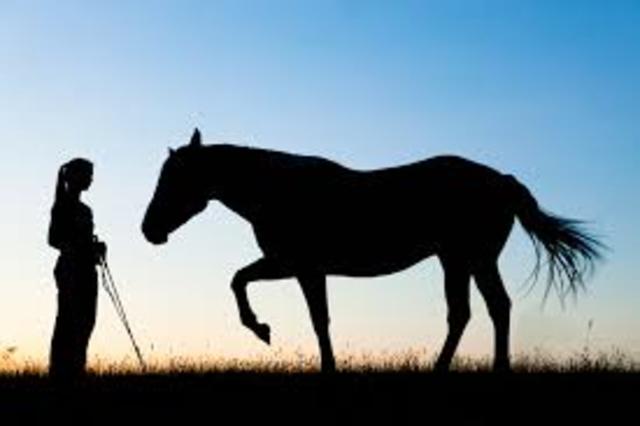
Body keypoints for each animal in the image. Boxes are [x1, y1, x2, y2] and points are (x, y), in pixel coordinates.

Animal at [142, 128, 603, 372]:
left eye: (174, 179)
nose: (149, 231)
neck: (278, 190)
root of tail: (503, 180)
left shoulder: (299, 265)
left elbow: (309, 315)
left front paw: (263, 330)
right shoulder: (294, 266)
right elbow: (247, 283)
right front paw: (266, 331)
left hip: (470, 257)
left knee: (486, 309)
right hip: (460, 259)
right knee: (477, 310)